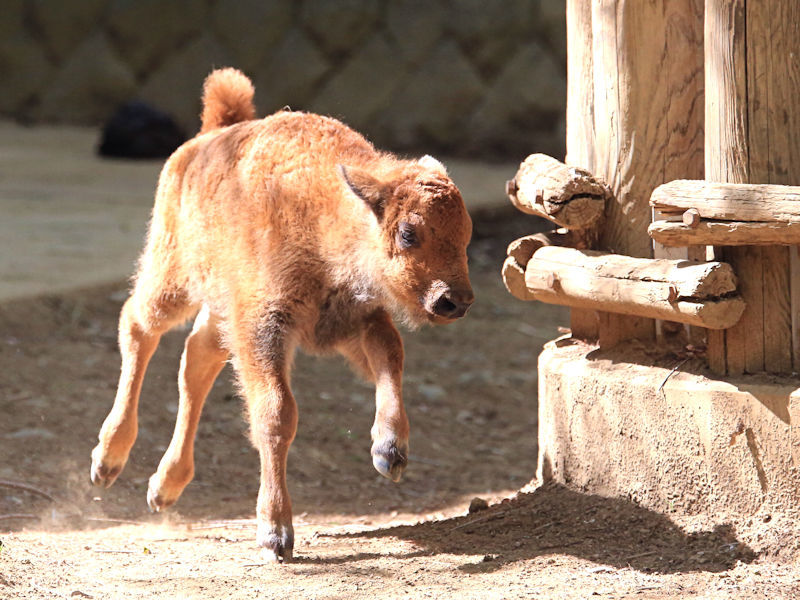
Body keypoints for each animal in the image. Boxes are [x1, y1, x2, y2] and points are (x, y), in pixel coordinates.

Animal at [89, 68, 476, 560]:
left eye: (466, 233)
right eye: (408, 233)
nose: (455, 300)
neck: (327, 212)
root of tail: (208, 136)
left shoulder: (353, 322)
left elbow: (392, 357)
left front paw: (390, 453)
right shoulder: (264, 327)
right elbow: (276, 414)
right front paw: (276, 534)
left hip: (219, 309)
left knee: (196, 360)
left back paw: (164, 487)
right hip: (172, 279)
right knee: (138, 327)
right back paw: (107, 459)